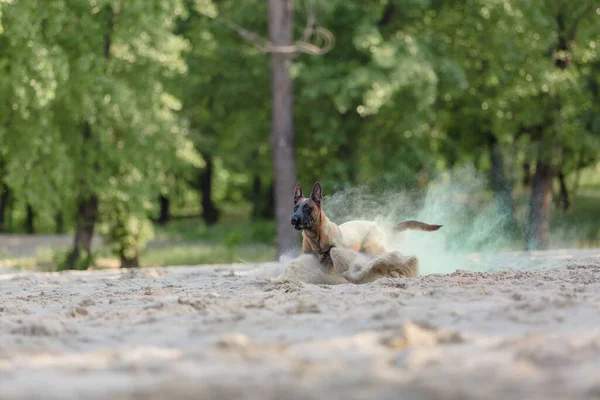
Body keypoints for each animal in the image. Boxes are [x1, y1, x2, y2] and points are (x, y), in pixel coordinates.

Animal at [290, 183, 440, 268]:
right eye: (295, 207)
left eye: (307, 208)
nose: (293, 219)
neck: (315, 236)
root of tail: (381, 227)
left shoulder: (338, 251)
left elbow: (330, 253)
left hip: (373, 250)